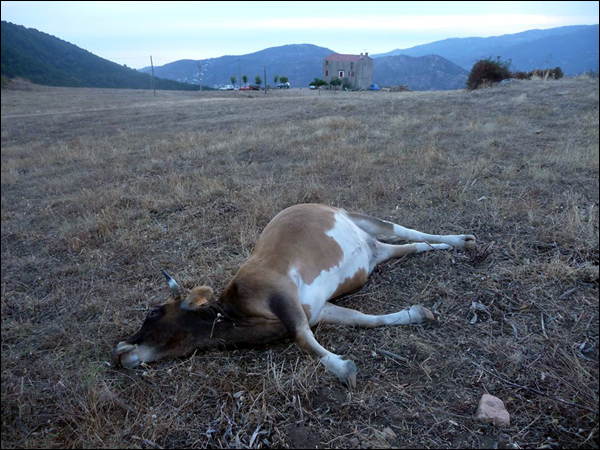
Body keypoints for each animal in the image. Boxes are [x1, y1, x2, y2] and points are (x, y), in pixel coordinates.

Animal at [112, 204, 474, 386]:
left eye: (153, 313)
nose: (119, 351)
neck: (238, 313)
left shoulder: (280, 292)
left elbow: (301, 337)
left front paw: (343, 368)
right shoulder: (318, 309)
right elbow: (363, 320)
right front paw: (418, 313)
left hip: (360, 219)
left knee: (403, 229)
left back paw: (460, 239)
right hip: (379, 252)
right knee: (412, 245)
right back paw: (444, 246)